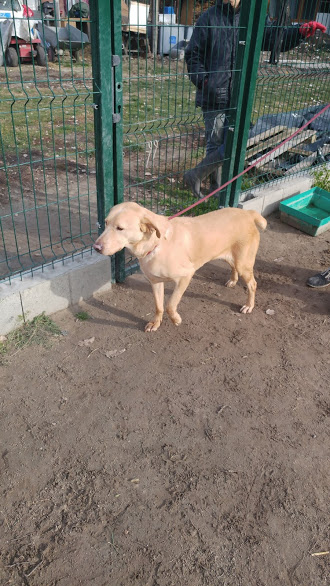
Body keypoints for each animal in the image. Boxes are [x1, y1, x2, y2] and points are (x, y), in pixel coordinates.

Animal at [92, 202, 266, 330]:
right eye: (105, 223)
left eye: (120, 228)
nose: (96, 247)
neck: (156, 244)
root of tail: (248, 213)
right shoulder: (155, 282)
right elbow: (159, 306)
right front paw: (156, 323)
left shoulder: (185, 276)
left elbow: (170, 305)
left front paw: (176, 319)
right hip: (230, 256)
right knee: (233, 267)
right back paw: (233, 280)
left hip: (244, 263)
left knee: (253, 284)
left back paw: (249, 306)